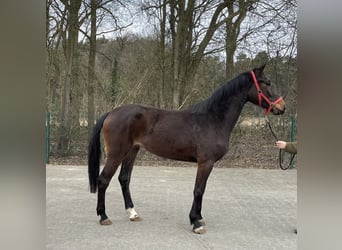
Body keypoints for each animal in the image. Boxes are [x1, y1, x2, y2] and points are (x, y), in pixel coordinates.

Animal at [88, 63, 286, 233]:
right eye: (266, 82)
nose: (282, 107)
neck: (213, 119)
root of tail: (112, 113)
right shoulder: (205, 162)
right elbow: (198, 190)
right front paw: (196, 222)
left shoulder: (206, 163)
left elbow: (201, 190)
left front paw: (198, 218)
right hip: (116, 153)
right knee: (103, 179)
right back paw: (103, 216)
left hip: (132, 151)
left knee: (124, 179)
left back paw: (132, 213)